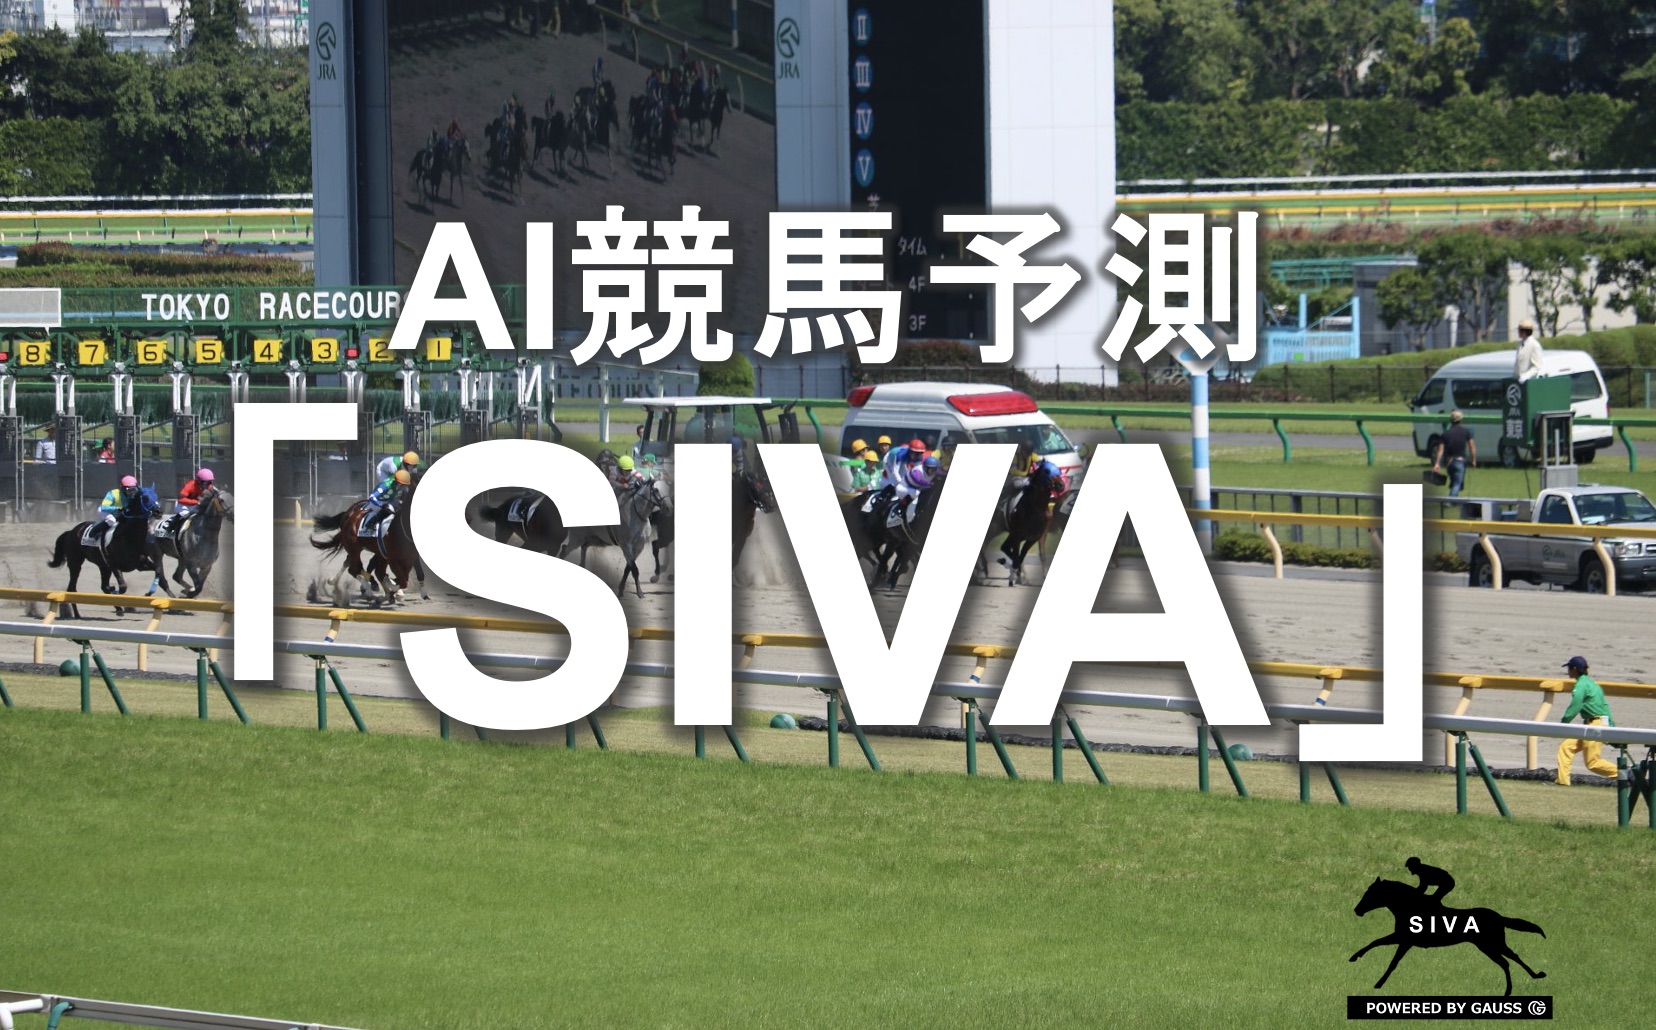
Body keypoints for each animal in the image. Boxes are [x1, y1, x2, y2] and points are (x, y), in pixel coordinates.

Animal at [1350, 878, 1546, 997]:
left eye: (1371, 894)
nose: (1357, 910)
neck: (1410, 906)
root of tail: (1499, 917)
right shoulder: (1401, 937)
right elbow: (1376, 942)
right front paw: (1355, 957)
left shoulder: (1405, 940)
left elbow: (1392, 962)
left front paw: (1378, 983)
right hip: (1491, 946)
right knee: (1510, 959)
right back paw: (1528, 980)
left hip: (1490, 945)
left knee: (1509, 960)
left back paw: (1519, 985)